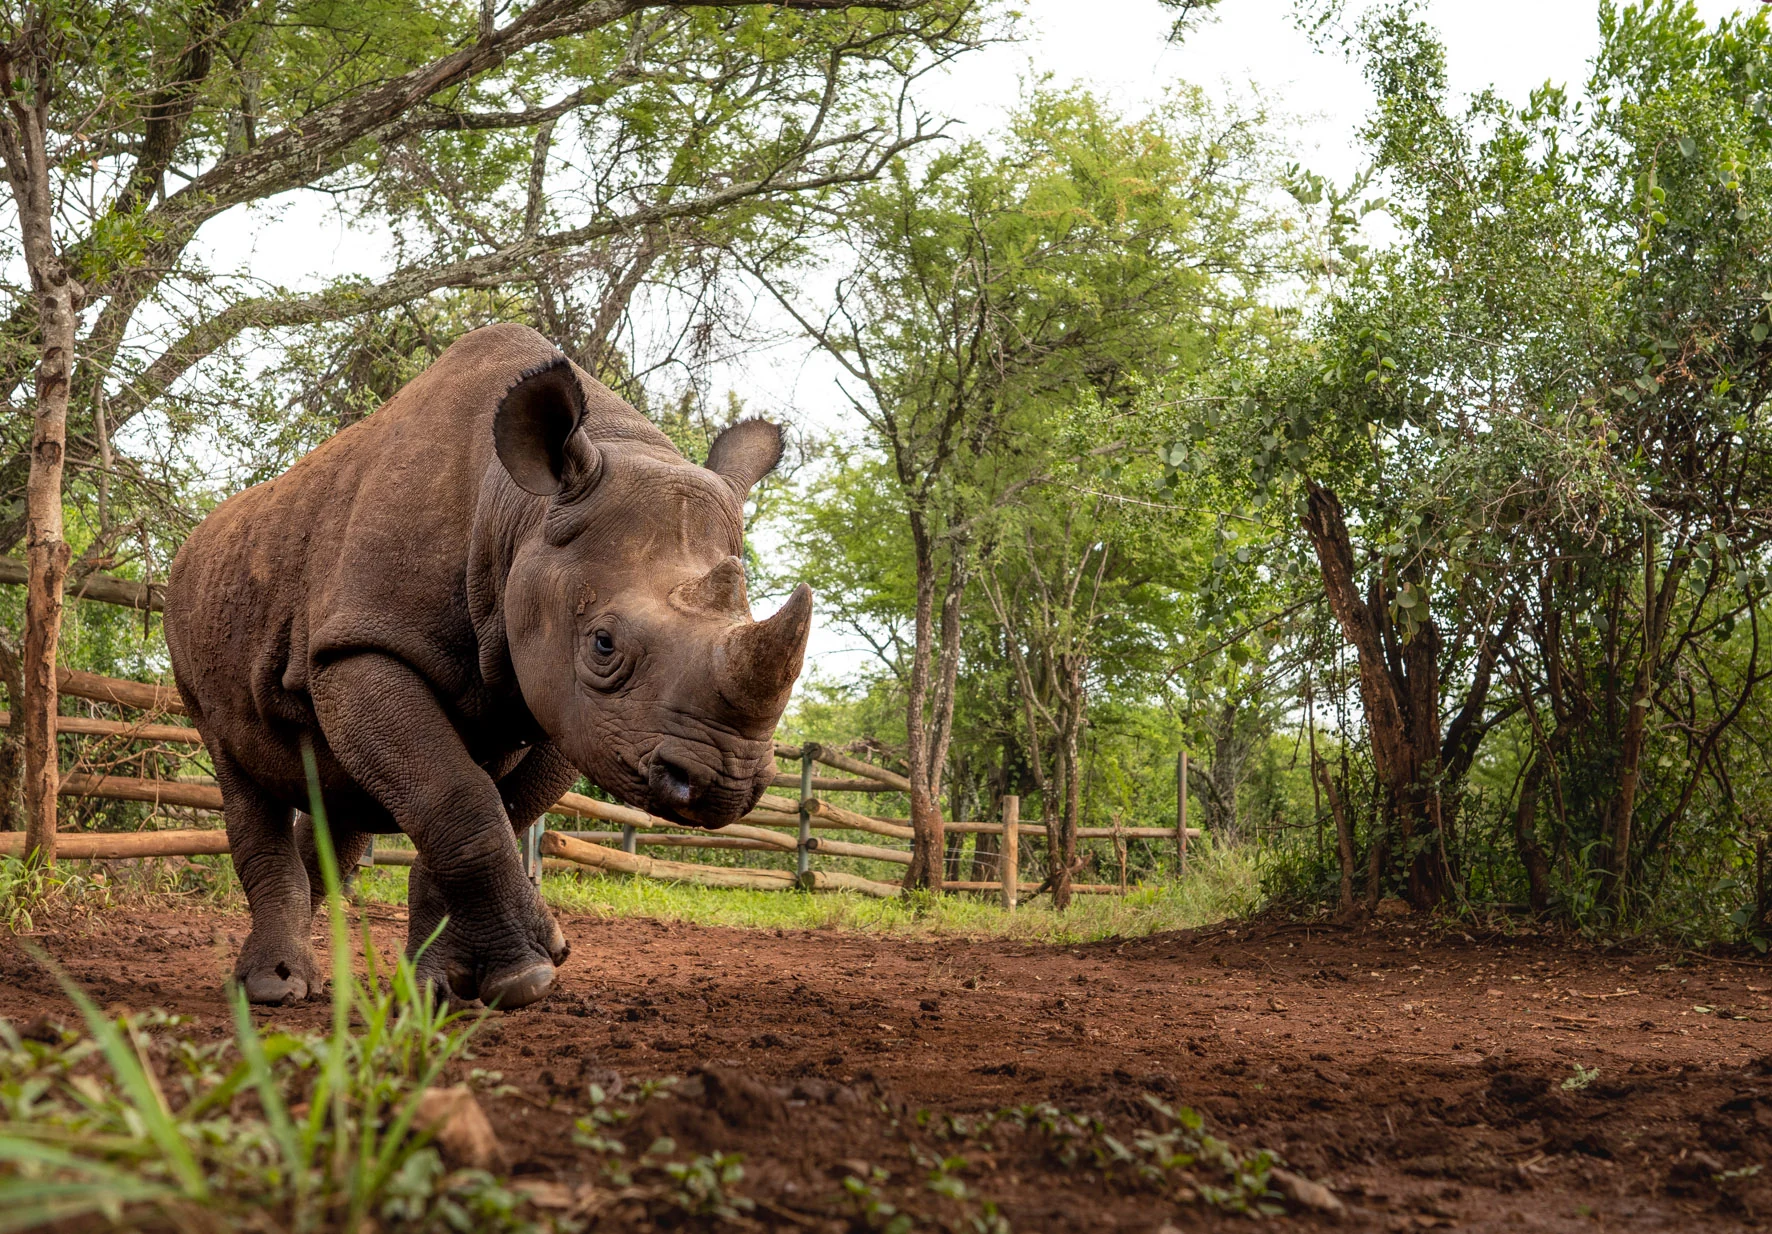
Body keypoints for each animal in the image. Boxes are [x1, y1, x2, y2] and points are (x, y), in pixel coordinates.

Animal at [164, 323, 811, 1008]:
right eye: (603, 645)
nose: (724, 784)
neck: (521, 514)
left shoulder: (561, 703)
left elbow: (488, 809)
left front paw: (444, 985)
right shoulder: (362, 647)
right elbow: (459, 798)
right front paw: (525, 975)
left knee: (338, 795)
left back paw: (308, 979)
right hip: (192, 619)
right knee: (237, 770)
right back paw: (272, 988)